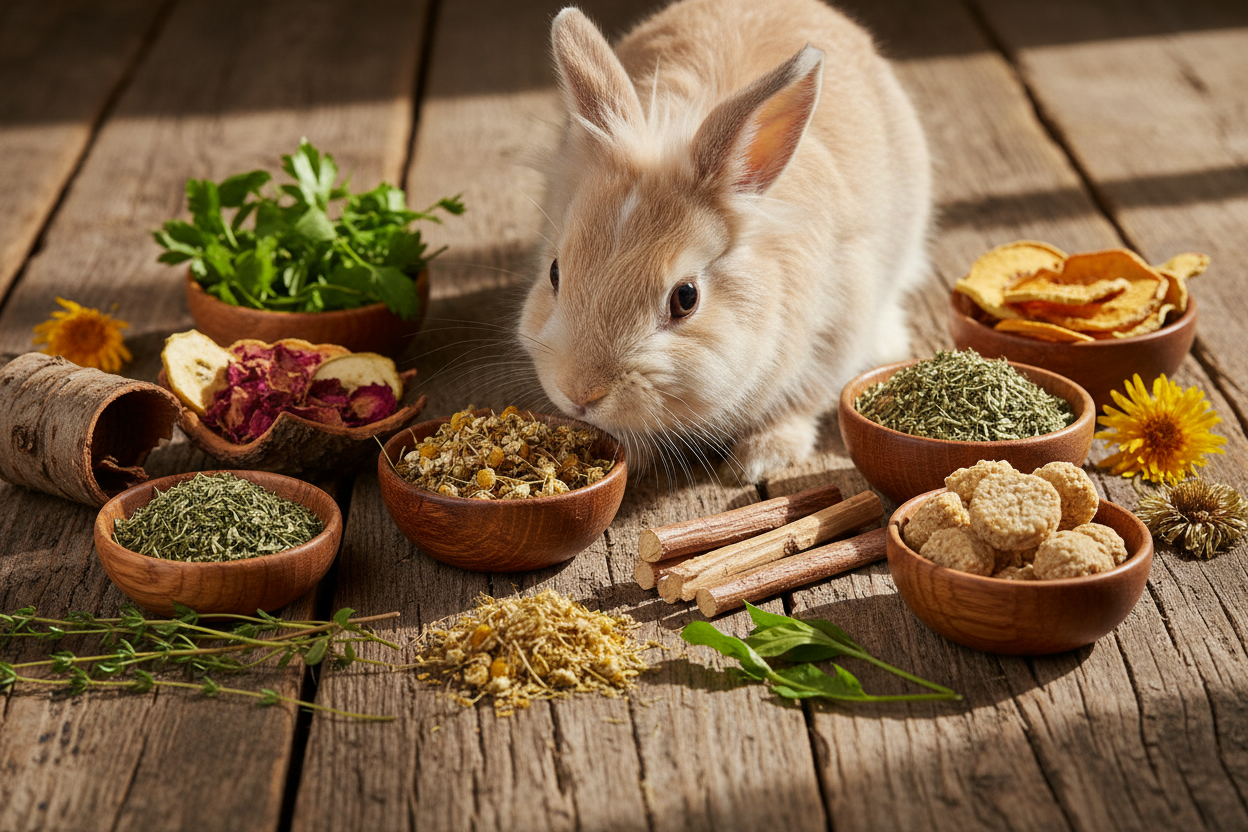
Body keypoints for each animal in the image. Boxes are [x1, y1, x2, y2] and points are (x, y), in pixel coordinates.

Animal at [517, 0, 932, 481]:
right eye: (554, 272)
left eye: (686, 298)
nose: (580, 394)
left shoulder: (835, 333)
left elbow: (799, 404)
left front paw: (757, 460)